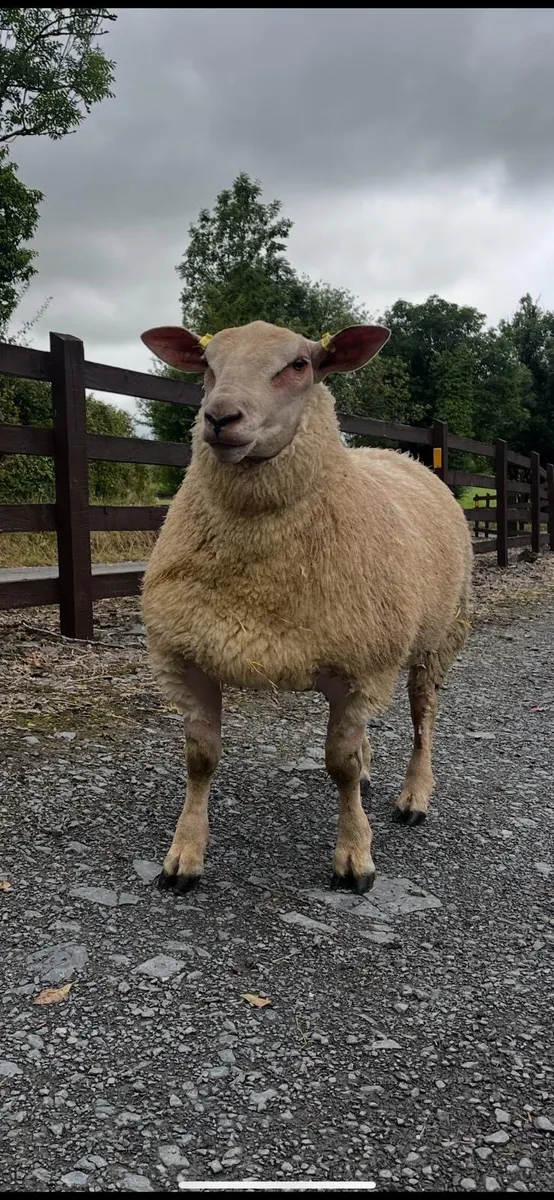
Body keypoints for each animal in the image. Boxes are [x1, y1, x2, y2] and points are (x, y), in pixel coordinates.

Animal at [139, 319, 472, 896]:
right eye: (207, 363)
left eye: (299, 365)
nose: (218, 418)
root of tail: (399, 455)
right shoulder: (191, 655)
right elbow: (200, 760)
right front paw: (184, 856)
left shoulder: (361, 667)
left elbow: (339, 764)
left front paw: (355, 857)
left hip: (437, 637)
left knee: (423, 716)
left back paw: (415, 796)